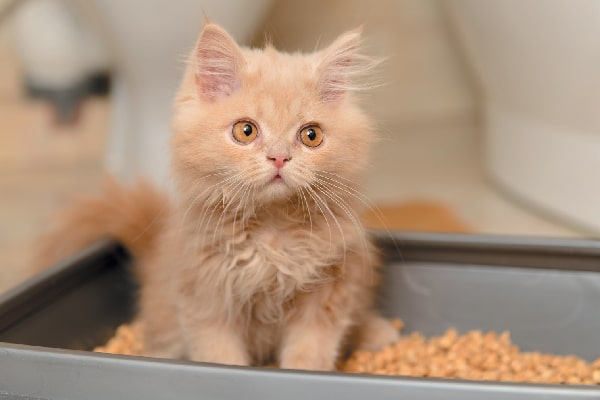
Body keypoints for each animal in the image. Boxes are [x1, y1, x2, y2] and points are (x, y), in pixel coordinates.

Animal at [35, 20, 396, 370]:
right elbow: (221, 357)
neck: (271, 232)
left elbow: (310, 355)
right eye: (246, 131)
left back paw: (379, 333)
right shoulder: (206, 301)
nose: (279, 158)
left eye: (311, 136)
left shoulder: (328, 294)